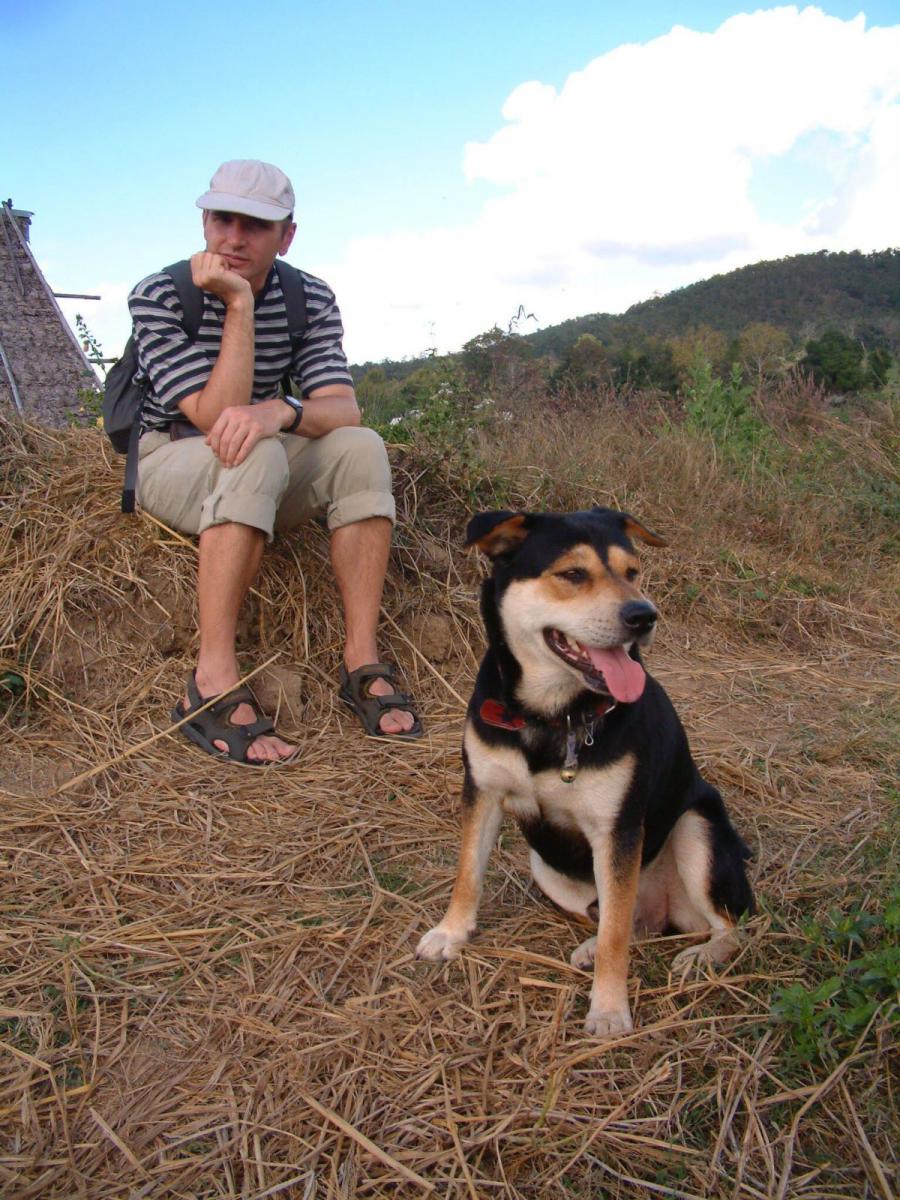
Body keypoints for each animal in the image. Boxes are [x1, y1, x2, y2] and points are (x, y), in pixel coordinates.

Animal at [420, 501, 758, 1036]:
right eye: (573, 574)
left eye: (633, 572)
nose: (644, 615)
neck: (551, 715)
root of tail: (666, 907)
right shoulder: (483, 791)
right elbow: (468, 871)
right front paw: (450, 932)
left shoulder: (616, 828)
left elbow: (615, 935)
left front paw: (609, 1009)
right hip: (547, 868)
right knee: (631, 922)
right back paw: (589, 947)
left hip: (695, 831)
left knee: (727, 924)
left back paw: (702, 955)